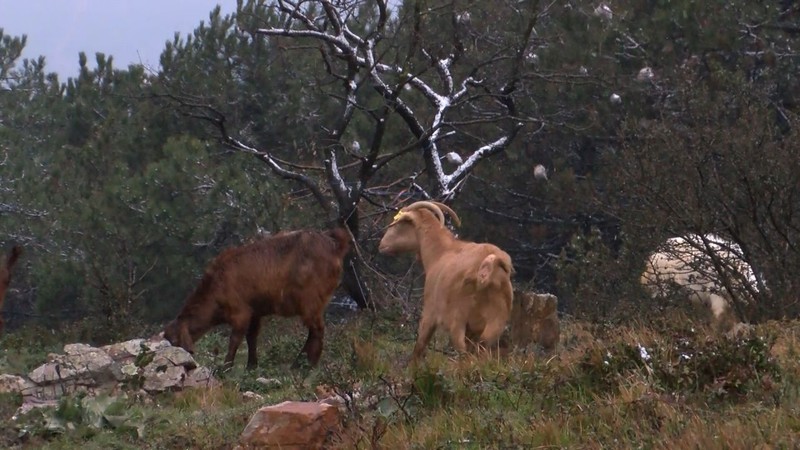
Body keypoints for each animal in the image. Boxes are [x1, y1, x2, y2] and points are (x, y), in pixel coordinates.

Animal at [163, 229, 350, 370]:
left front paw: (225, 367)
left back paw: (306, 365)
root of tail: (334, 245)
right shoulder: (255, 313)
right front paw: (251, 366)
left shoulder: (241, 312)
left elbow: (235, 339)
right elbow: (251, 337)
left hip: (310, 301)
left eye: (175, 341)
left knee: (317, 330)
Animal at [380, 200, 516, 362]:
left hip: (458, 318)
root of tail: (491, 264)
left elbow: (420, 345)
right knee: (481, 350)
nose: (381, 245)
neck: (441, 252)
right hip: (496, 322)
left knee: (463, 351)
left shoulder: (430, 312)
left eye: (398, 223)